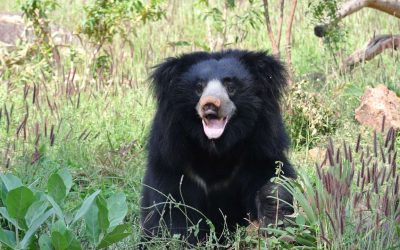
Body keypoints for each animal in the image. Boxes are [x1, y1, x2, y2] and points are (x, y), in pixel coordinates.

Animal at [140, 49, 294, 243]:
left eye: (230, 86)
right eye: (199, 88)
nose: (210, 104)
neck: (215, 148)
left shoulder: (259, 148)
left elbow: (272, 175)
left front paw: (274, 205)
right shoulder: (172, 158)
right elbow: (171, 206)